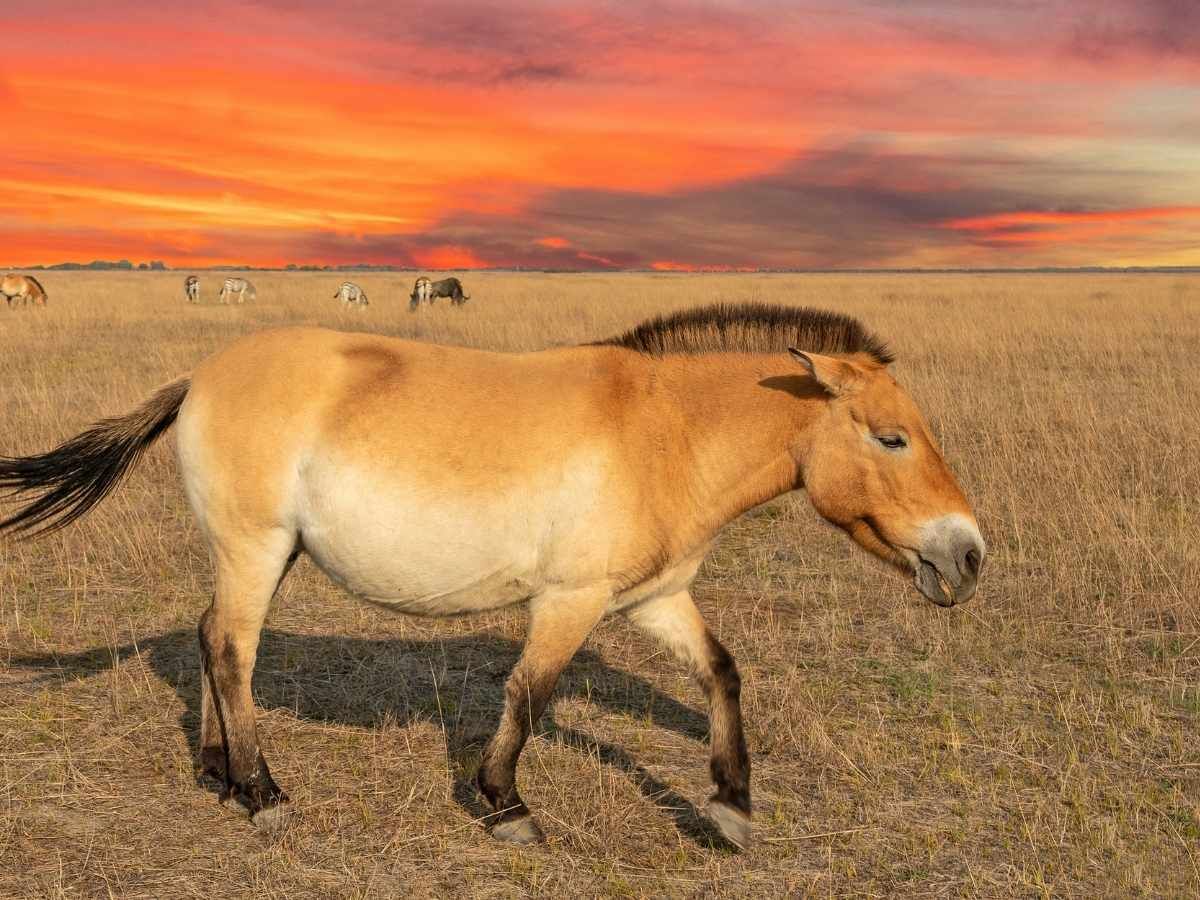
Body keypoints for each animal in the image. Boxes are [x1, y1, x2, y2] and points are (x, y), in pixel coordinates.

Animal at [0, 303, 985, 849]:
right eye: (891, 438)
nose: (968, 555)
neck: (663, 429)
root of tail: (200, 378)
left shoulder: (654, 598)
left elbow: (721, 673)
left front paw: (732, 806)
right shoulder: (571, 601)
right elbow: (528, 695)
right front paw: (506, 807)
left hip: (262, 555)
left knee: (213, 642)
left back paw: (220, 773)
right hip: (253, 547)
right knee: (234, 651)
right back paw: (265, 794)